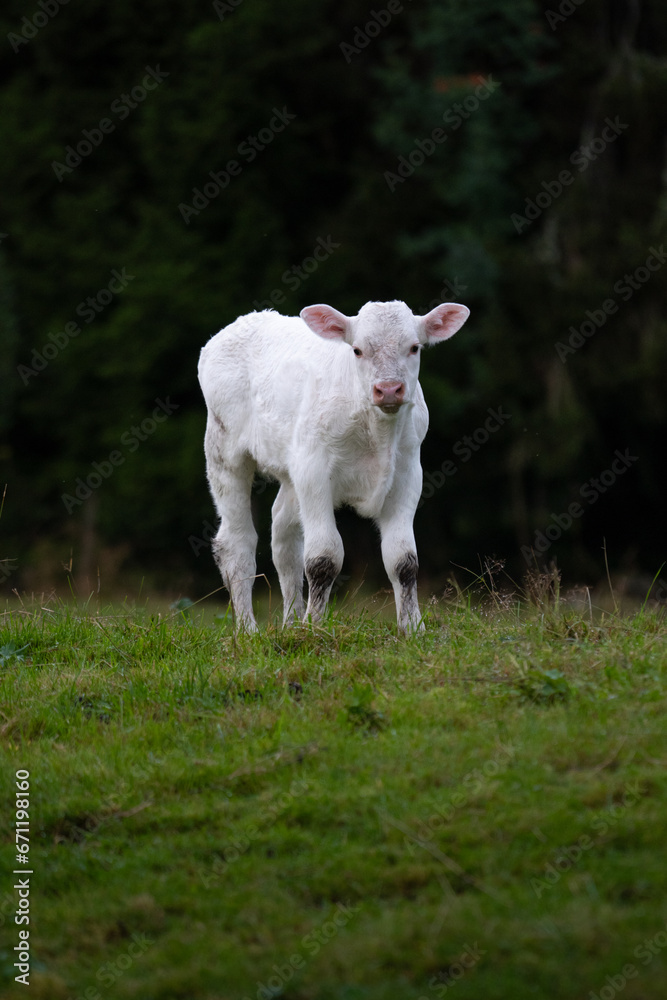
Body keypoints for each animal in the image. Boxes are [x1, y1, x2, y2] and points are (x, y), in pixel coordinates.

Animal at [198, 299, 470, 634]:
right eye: (357, 350)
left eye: (414, 347)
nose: (388, 389)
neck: (375, 428)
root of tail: (243, 322)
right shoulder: (314, 472)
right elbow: (323, 558)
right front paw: (314, 628)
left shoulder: (408, 473)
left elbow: (403, 559)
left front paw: (413, 629)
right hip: (225, 451)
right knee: (237, 543)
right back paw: (248, 630)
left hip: (292, 467)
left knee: (284, 538)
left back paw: (290, 623)